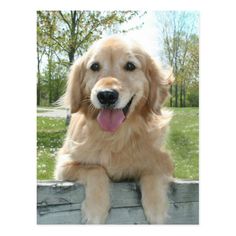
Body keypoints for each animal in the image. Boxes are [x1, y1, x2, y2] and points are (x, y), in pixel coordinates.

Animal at [54, 35, 174, 223]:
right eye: (94, 66)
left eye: (130, 66)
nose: (106, 95)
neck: (116, 135)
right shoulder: (64, 164)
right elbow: (95, 169)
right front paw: (96, 208)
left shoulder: (165, 161)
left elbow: (152, 170)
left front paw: (156, 208)